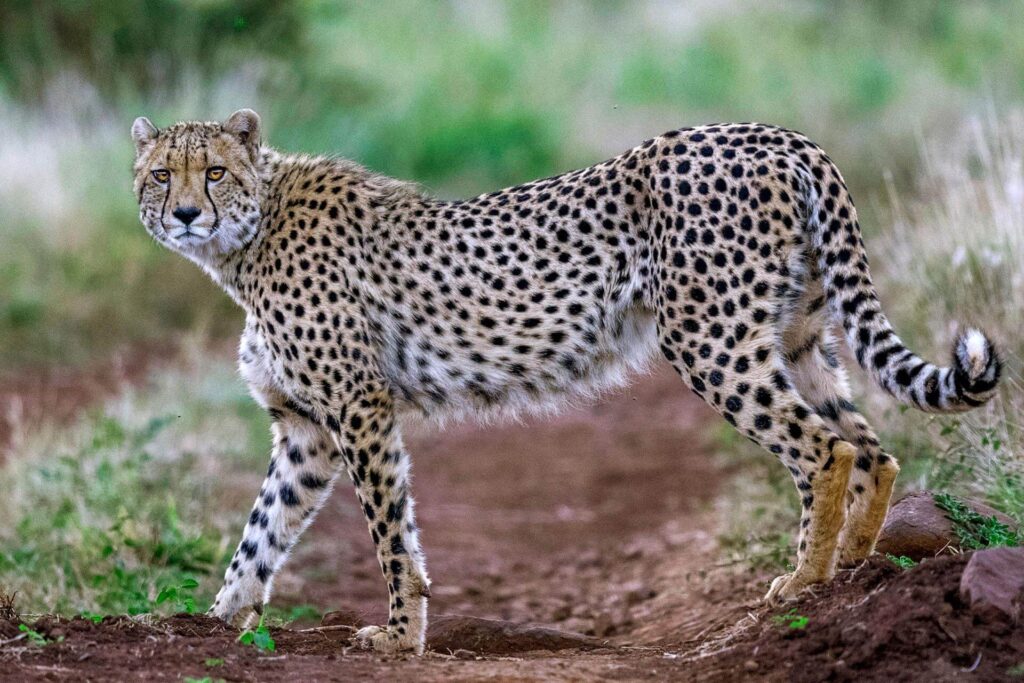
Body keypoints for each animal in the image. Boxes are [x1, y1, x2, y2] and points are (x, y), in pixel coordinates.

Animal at [131, 109, 1001, 654]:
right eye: (159, 176)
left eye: (213, 172)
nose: (184, 214)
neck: (246, 241)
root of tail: (779, 135)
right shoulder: (306, 429)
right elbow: (260, 531)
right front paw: (216, 620)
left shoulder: (359, 407)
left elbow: (390, 534)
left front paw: (400, 636)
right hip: (798, 336)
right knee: (871, 445)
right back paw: (854, 566)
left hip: (710, 340)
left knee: (824, 449)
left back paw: (804, 581)